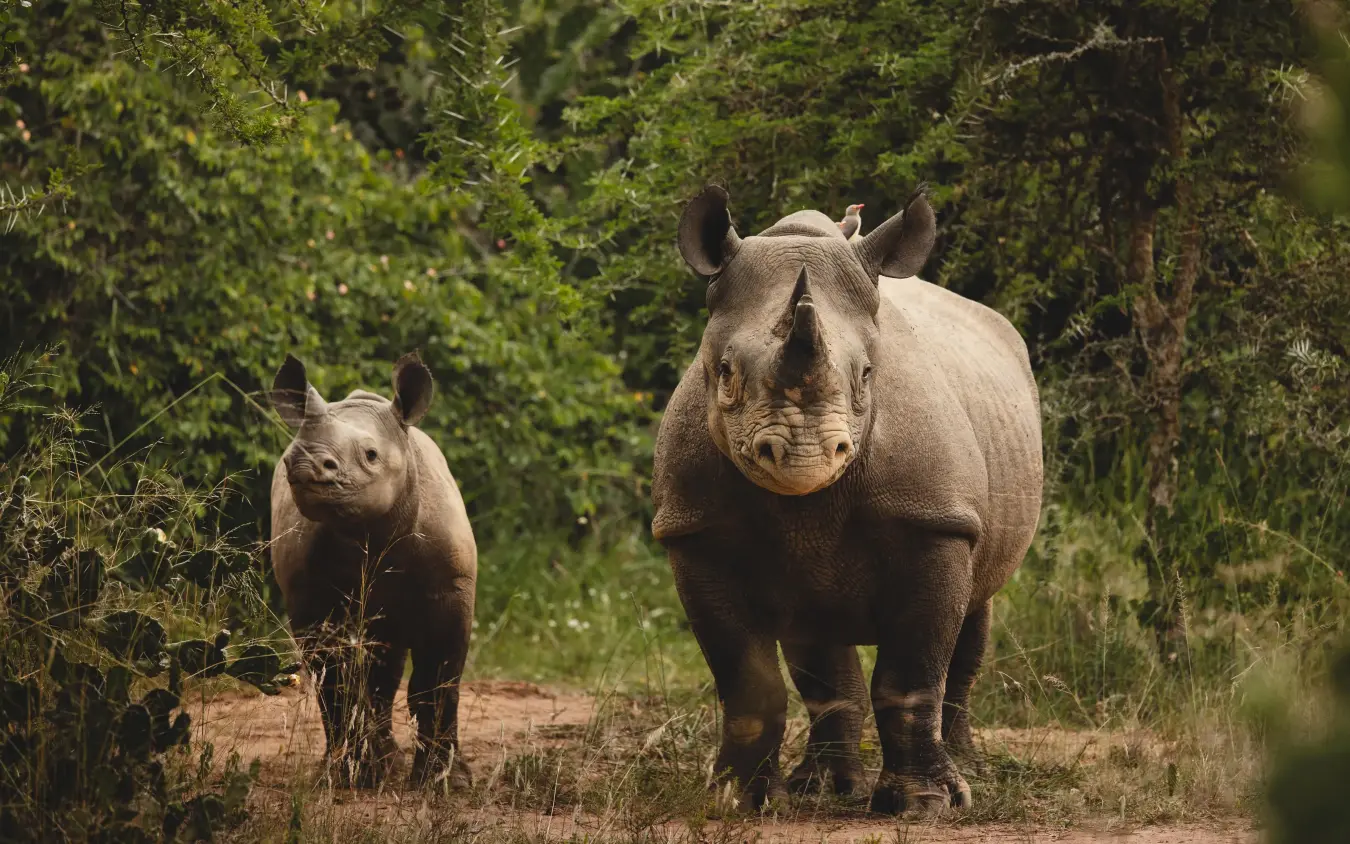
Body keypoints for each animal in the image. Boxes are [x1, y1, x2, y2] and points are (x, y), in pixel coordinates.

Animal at [269, 352, 476, 790]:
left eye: (371, 455)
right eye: (289, 454)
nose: (304, 462)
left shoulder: (452, 586)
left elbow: (440, 678)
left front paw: (445, 782)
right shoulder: (309, 599)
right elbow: (336, 681)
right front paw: (354, 775)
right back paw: (375, 766)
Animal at [651, 187, 1043, 816]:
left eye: (866, 375)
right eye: (725, 373)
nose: (803, 455)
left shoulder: (934, 521)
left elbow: (911, 677)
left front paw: (923, 805)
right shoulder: (694, 530)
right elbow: (748, 682)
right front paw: (737, 799)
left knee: (976, 608)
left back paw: (972, 771)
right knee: (817, 635)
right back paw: (823, 788)